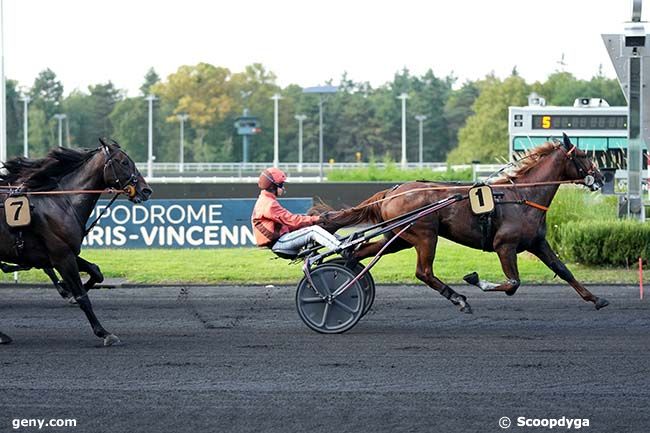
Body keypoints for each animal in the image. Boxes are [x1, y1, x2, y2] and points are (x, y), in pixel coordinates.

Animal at [0, 140, 151, 346]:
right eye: (124, 162)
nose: (146, 190)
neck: (60, 202)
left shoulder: (64, 253)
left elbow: (96, 271)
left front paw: (69, 291)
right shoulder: (62, 256)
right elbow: (82, 297)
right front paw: (104, 333)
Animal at [314, 133, 608, 312]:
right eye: (584, 155)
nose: (601, 178)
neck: (522, 196)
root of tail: (392, 191)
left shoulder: (537, 243)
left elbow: (563, 270)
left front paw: (596, 299)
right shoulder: (505, 245)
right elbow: (513, 283)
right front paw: (476, 279)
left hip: (399, 238)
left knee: (358, 252)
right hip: (425, 235)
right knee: (423, 272)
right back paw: (458, 298)